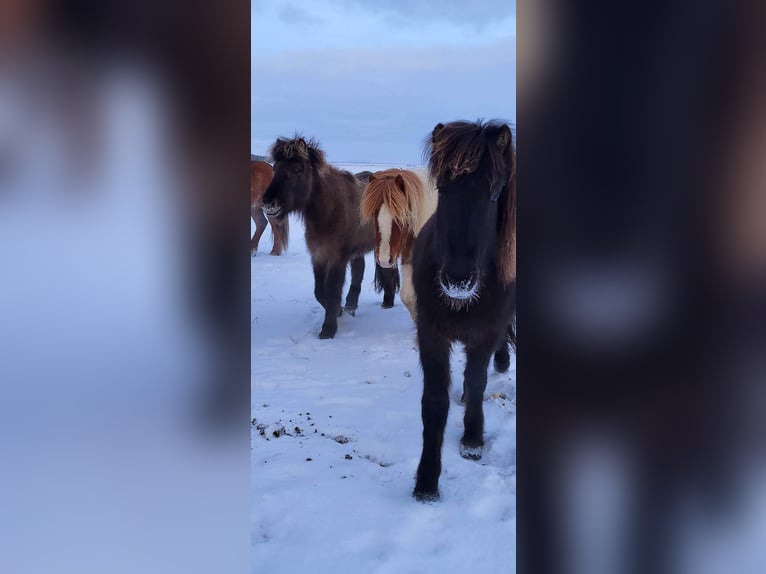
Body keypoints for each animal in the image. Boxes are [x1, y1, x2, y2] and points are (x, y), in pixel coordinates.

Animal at [262, 137, 400, 340]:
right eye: (275, 168)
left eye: (297, 169)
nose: (268, 203)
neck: (328, 212)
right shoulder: (319, 255)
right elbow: (320, 291)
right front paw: (339, 311)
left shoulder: (337, 258)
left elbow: (332, 290)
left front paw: (328, 328)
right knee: (359, 271)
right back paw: (352, 305)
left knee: (386, 269)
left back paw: (387, 302)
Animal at [412, 119, 520, 502]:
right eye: (442, 189)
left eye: (494, 193)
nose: (457, 280)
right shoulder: (431, 333)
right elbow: (433, 403)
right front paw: (427, 480)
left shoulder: (484, 333)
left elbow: (476, 382)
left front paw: (473, 439)